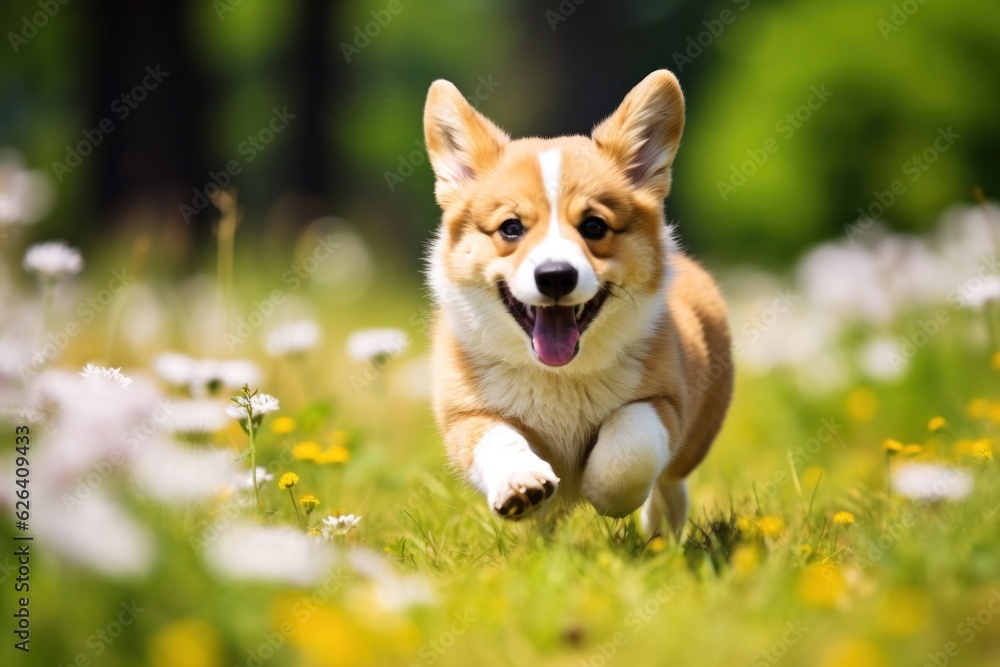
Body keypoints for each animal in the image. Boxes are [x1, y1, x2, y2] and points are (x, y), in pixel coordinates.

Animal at [424, 70, 736, 536]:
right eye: (511, 228)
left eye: (593, 226)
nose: (555, 275)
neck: (560, 378)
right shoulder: (466, 413)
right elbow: (499, 439)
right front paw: (524, 486)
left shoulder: (665, 401)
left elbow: (631, 443)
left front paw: (600, 490)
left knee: (670, 484)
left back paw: (661, 535)